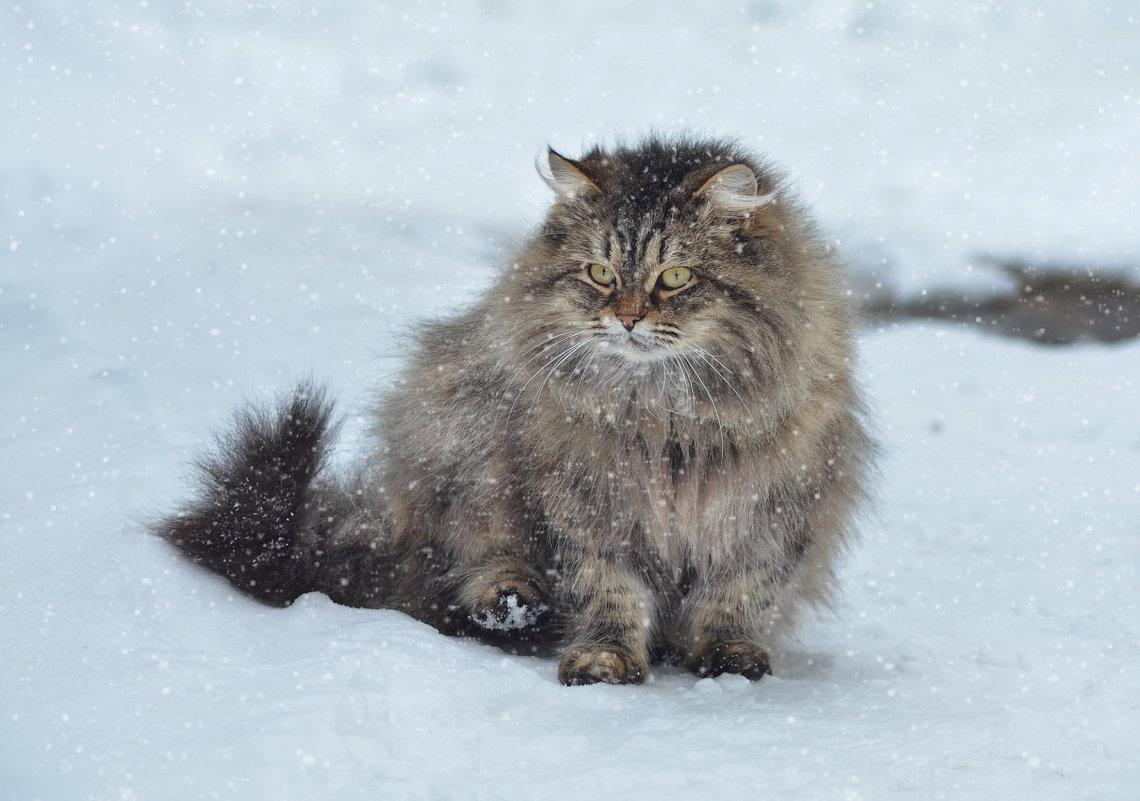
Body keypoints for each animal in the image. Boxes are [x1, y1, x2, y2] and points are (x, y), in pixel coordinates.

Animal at [156, 134, 875, 688]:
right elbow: (607, 590)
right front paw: (604, 658)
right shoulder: (586, 502)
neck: (663, 416)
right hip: (464, 440)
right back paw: (512, 603)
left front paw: (728, 654)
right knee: (466, 568)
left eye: (674, 278)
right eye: (600, 274)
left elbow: (740, 594)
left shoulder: (772, 506)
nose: (627, 319)